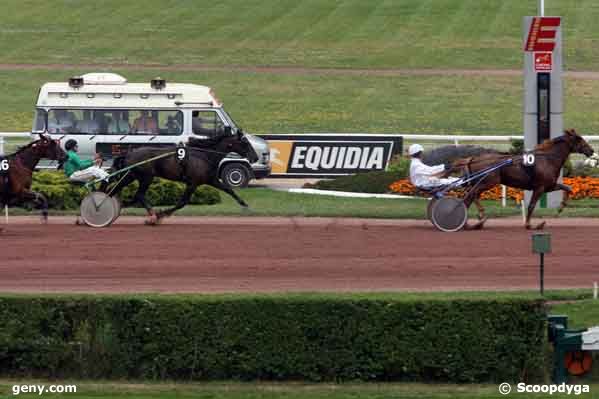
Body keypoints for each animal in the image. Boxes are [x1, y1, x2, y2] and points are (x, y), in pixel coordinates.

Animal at [110, 132, 260, 223]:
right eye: (245, 143)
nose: (255, 157)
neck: (204, 155)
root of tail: (129, 153)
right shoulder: (192, 183)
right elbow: (182, 202)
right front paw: (161, 215)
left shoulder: (211, 180)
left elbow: (230, 190)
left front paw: (246, 205)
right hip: (146, 177)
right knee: (139, 194)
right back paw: (152, 215)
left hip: (131, 175)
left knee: (120, 191)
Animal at [454, 130, 596, 230]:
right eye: (579, 139)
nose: (591, 150)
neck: (547, 159)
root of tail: (473, 158)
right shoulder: (539, 188)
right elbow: (531, 205)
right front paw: (530, 225)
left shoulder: (549, 186)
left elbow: (568, 188)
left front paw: (560, 208)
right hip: (488, 182)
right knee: (470, 195)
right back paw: (471, 221)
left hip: (481, 182)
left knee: (471, 195)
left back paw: (475, 220)